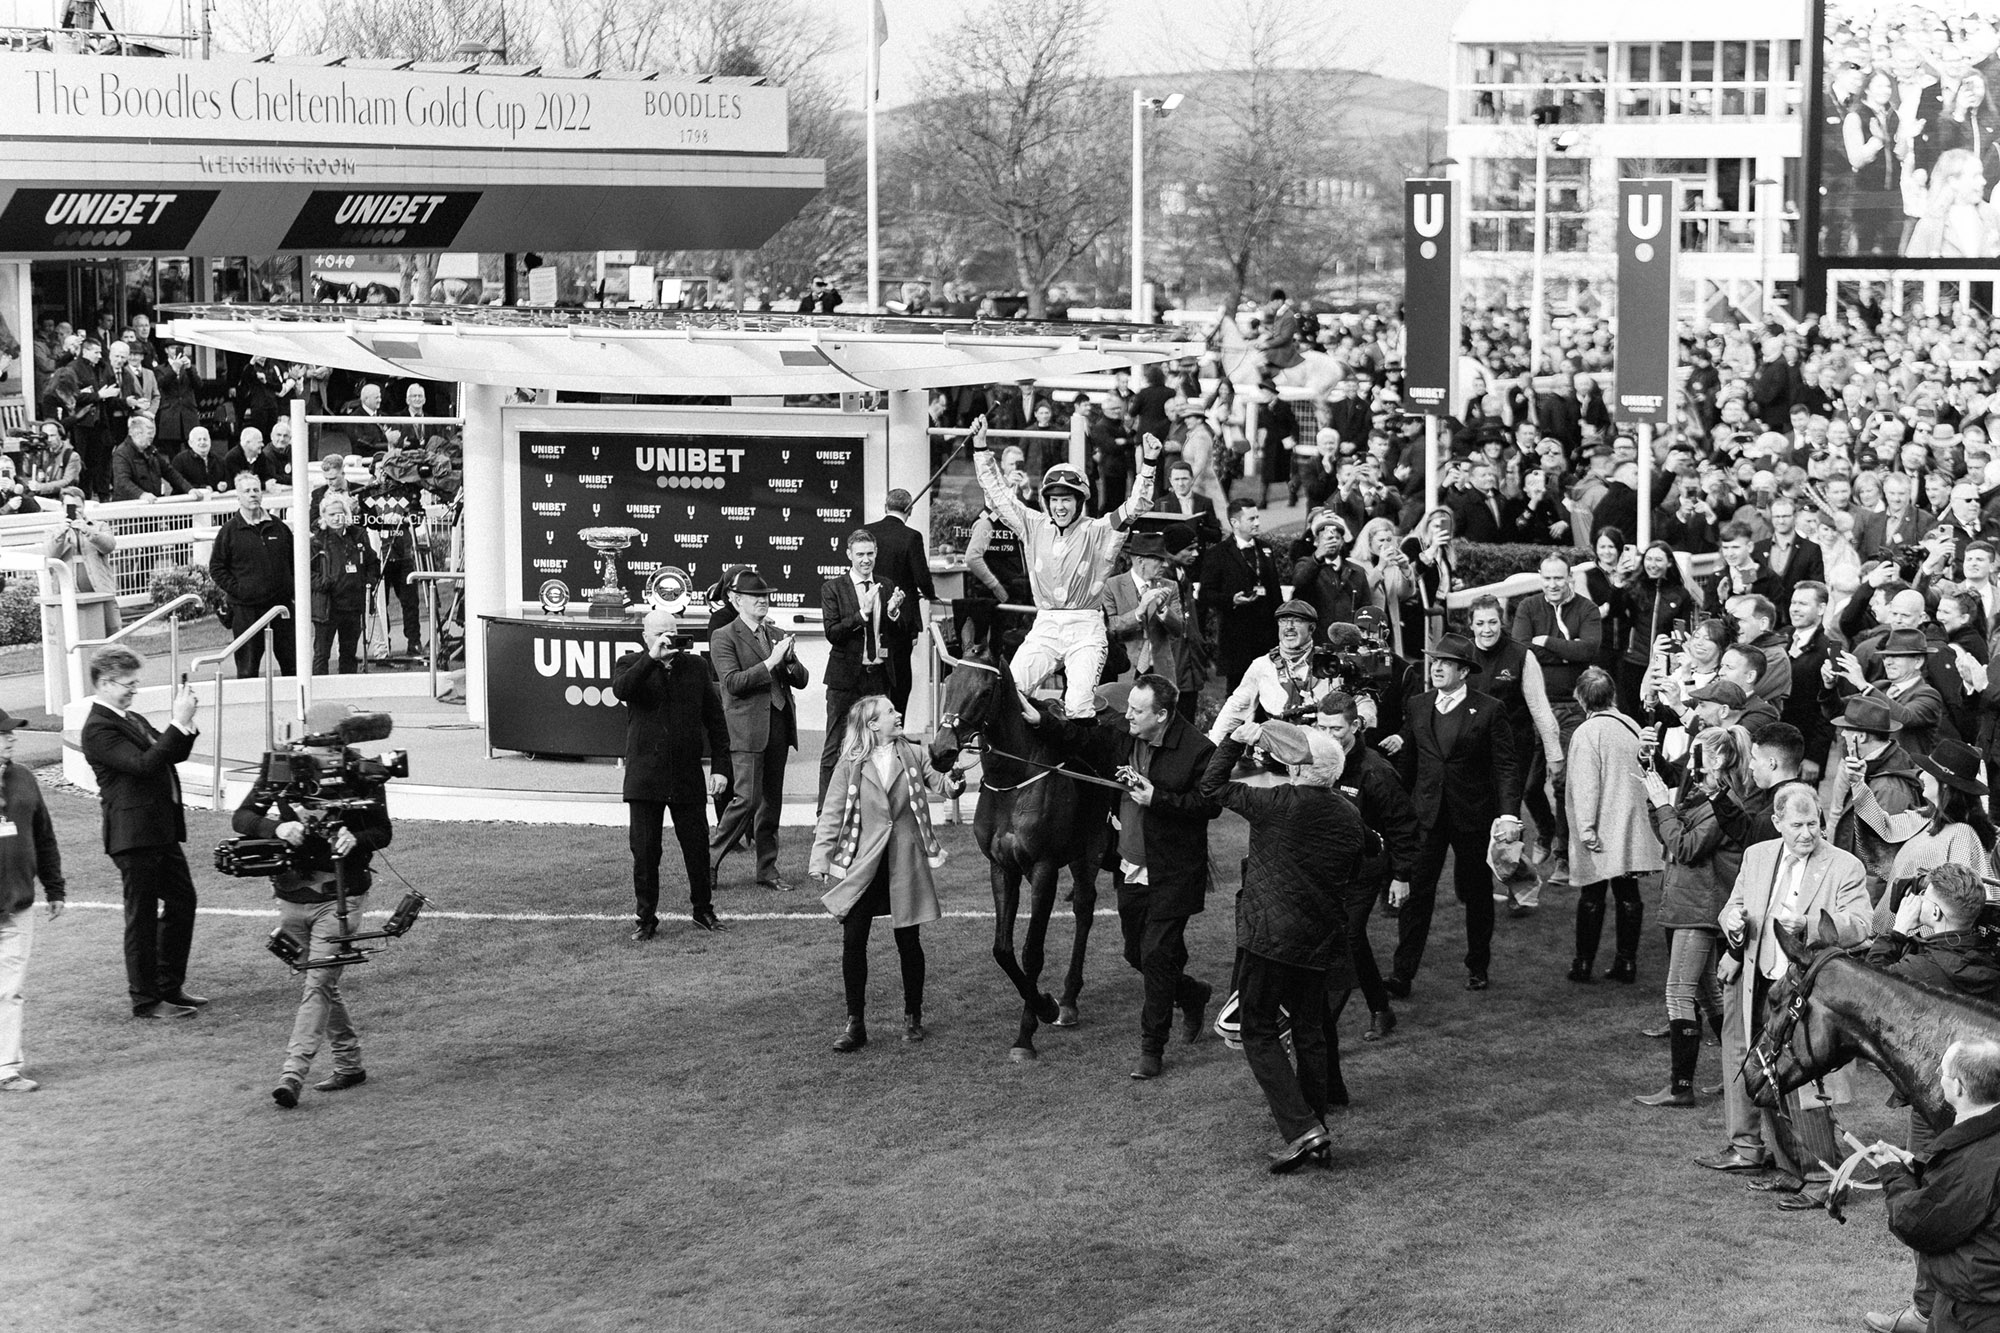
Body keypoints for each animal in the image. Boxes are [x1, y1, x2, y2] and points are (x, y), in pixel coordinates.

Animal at [928, 630, 1115, 1062]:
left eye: (985, 690)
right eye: (950, 681)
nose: (941, 752)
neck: (1013, 777)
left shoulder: (1043, 867)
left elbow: (1032, 951)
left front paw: (1030, 1029)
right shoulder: (1003, 867)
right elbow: (1002, 949)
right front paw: (1042, 1006)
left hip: (1091, 849)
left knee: (1085, 906)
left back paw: (1068, 999)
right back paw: (1067, 1000)